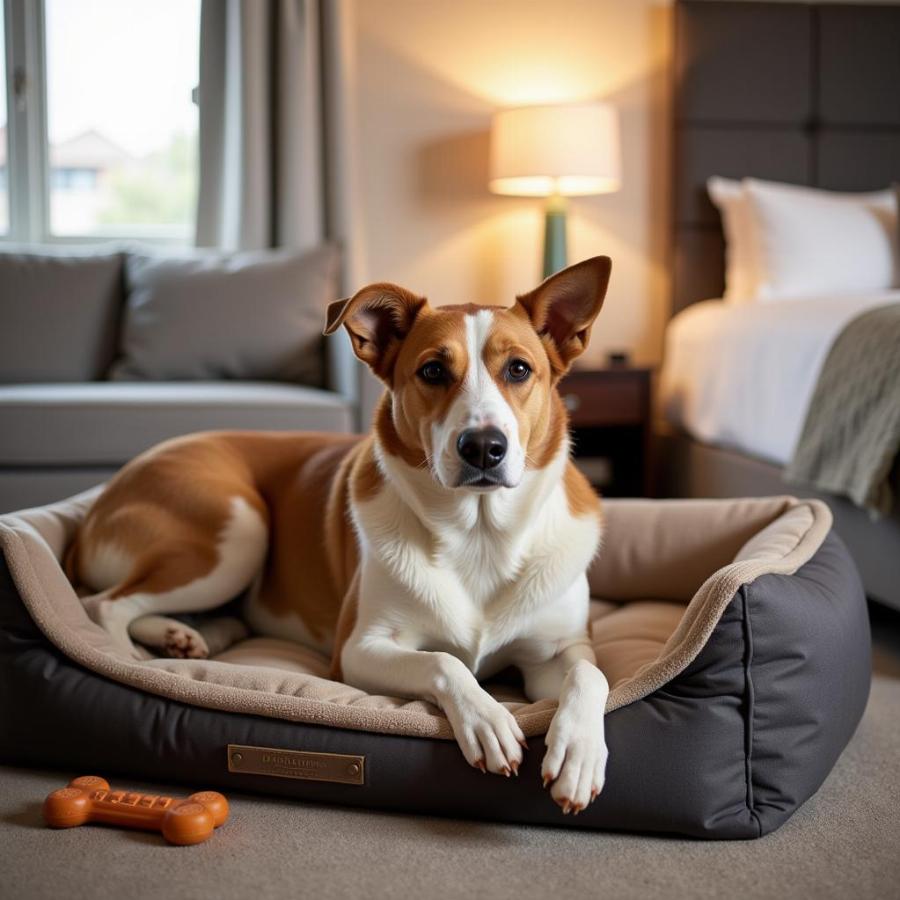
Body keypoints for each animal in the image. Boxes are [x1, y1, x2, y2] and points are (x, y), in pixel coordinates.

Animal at [68, 255, 612, 816]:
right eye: (433, 371)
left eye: (519, 370)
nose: (483, 446)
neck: (479, 533)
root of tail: (107, 494)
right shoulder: (357, 649)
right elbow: (443, 661)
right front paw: (487, 719)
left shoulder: (556, 650)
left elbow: (592, 674)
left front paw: (579, 753)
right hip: (239, 529)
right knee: (105, 604)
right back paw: (130, 660)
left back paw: (182, 636)